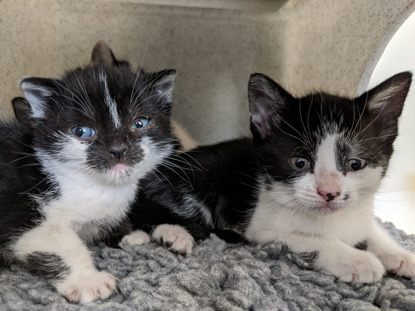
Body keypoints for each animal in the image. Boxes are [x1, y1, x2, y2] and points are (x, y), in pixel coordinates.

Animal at [0, 41, 177, 302]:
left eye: (140, 123)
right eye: (82, 131)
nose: (118, 150)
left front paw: (128, 234)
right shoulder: (18, 210)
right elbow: (58, 239)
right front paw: (89, 281)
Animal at [127, 72, 415, 284]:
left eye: (355, 164)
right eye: (300, 163)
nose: (329, 192)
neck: (333, 220)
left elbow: (370, 228)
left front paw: (400, 255)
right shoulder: (262, 228)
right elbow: (311, 239)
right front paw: (357, 260)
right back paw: (174, 234)